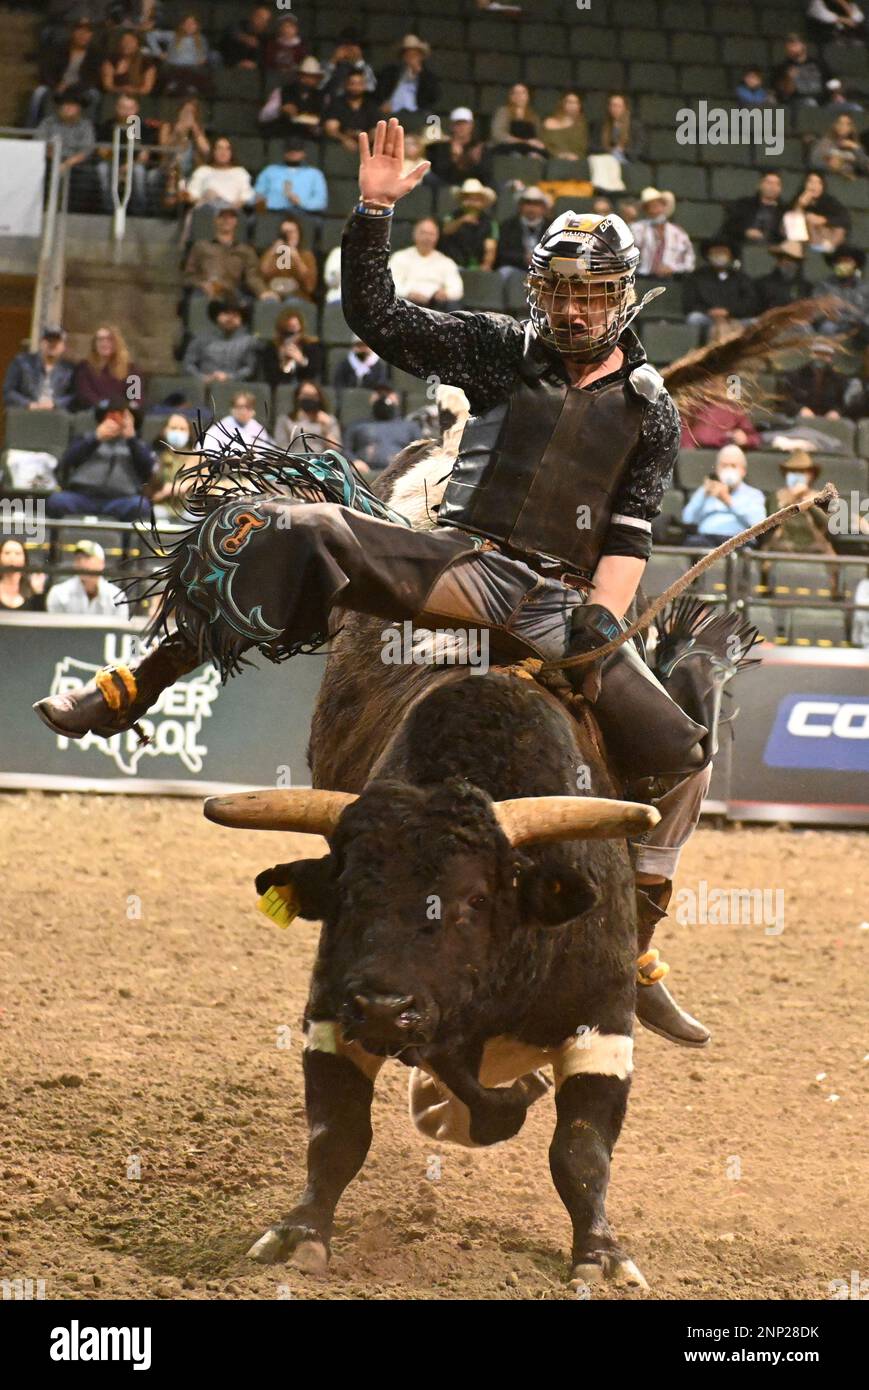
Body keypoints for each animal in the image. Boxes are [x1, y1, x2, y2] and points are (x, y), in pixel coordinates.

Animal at [202, 444, 650, 1289]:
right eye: (346, 893)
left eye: (472, 903)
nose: (384, 1008)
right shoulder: (330, 1004)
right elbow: (337, 1133)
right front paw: (299, 1232)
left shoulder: (603, 1017)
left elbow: (580, 1150)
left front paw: (601, 1257)